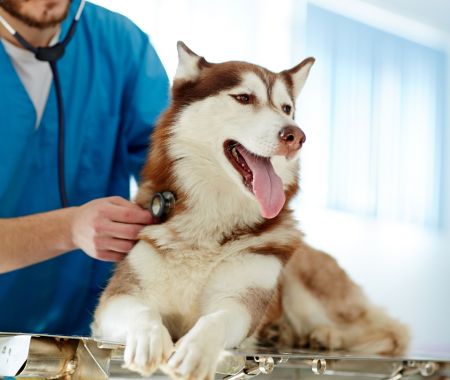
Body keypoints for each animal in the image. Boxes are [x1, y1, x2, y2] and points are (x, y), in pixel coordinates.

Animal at [91, 42, 408, 380]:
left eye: (286, 108)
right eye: (244, 98)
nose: (296, 135)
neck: (213, 218)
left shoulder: (240, 303)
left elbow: (216, 320)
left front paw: (196, 350)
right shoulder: (118, 298)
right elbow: (142, 311)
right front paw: (147, 338)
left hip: (304, 291)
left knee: (390, 332)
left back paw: (327, 335)